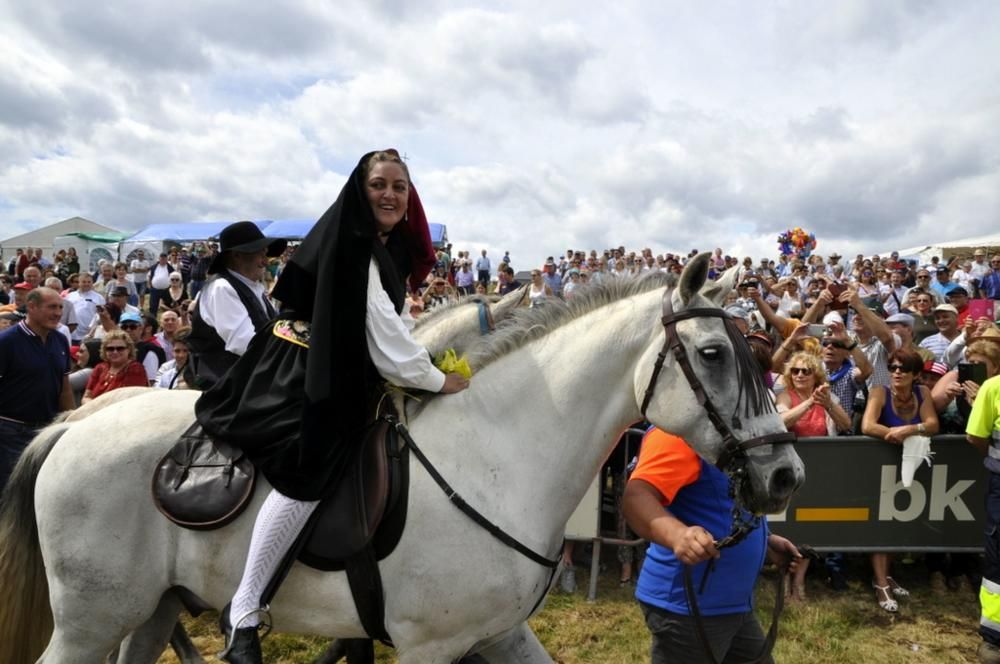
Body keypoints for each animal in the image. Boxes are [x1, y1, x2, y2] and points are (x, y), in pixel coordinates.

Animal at [0, 252, 800, 660]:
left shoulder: (498, 635)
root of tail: (73, 425)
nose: (786, 475)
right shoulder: (427, 647)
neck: (497, 459)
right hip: (91, 618)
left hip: (151, 608)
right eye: (713, 353)